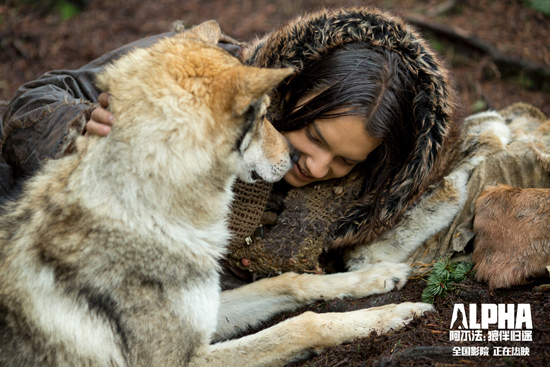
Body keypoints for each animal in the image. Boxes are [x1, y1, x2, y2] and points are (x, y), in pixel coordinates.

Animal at [0, 20, 436, 367]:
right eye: (261, 117)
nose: (294, 155)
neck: (148, 211)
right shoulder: (181, 359)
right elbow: (299, 327)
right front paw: (392, 316)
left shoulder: (206, 309)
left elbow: (289, 283)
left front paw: (379, 279)